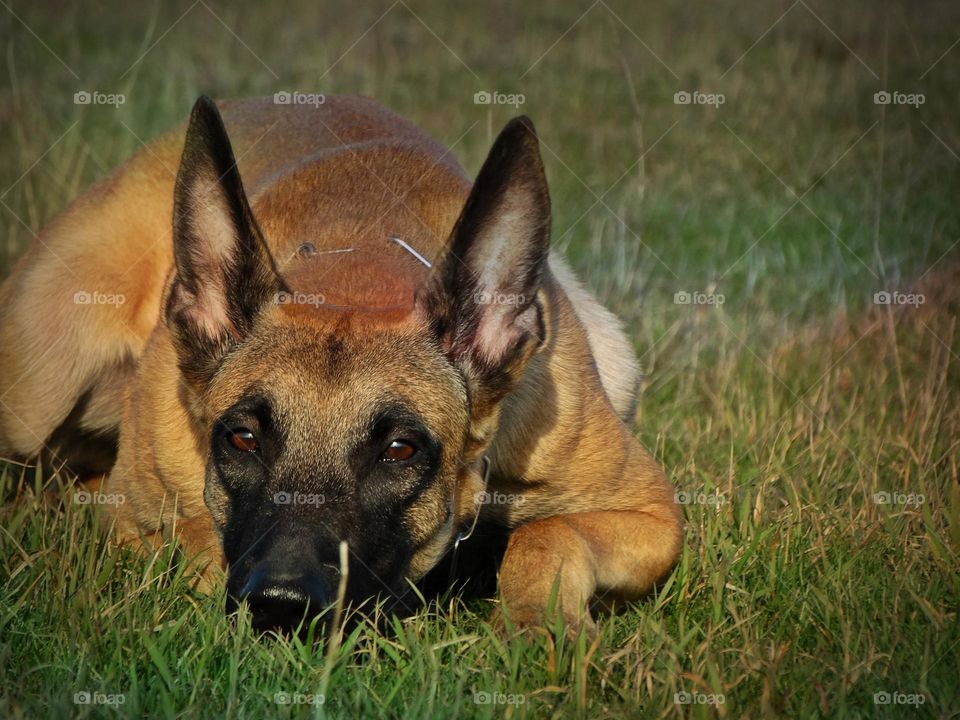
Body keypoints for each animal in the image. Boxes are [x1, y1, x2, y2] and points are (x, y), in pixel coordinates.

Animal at [0, 97, 684, 636]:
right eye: (242, 438)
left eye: (401, 450)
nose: (281, 606)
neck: (360, 273)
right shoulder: (135, 520)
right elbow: (198, 533)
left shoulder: (651, 515)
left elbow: (548, 535)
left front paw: (540, 627)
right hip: (39, 388)